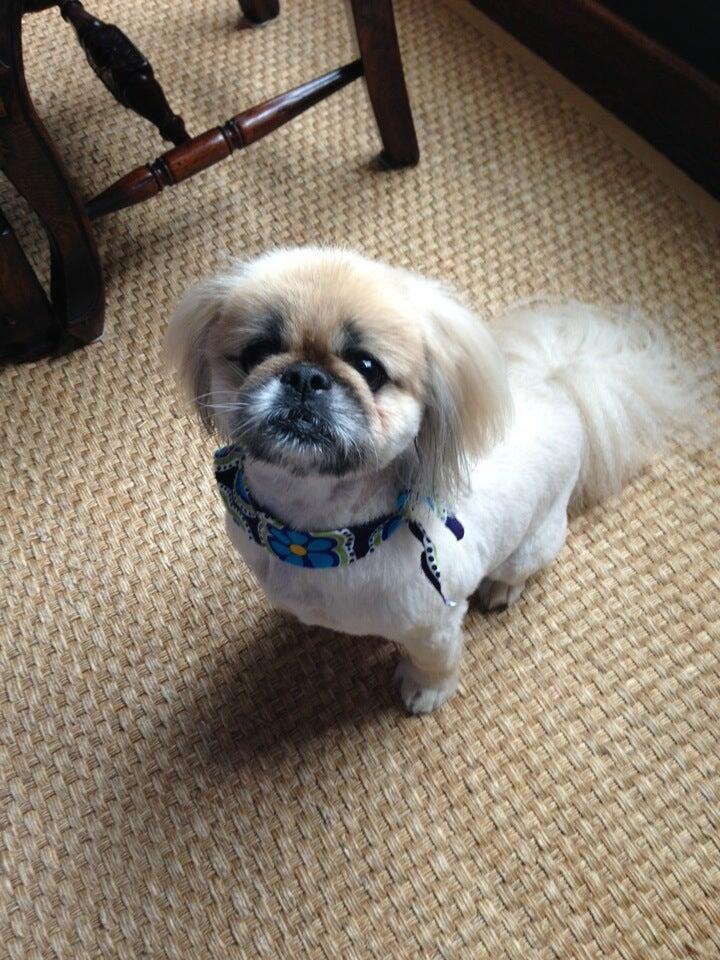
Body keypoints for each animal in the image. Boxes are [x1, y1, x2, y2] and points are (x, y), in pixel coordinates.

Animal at [165, 247, 707, 713]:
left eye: (368, 367)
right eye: (258, 351)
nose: (305, 377)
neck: (317, 538)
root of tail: (556, 387)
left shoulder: (436, 625)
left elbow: (433, 663)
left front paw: (426, 692)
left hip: (535, 543)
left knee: (520, 568)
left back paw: (502, 590)